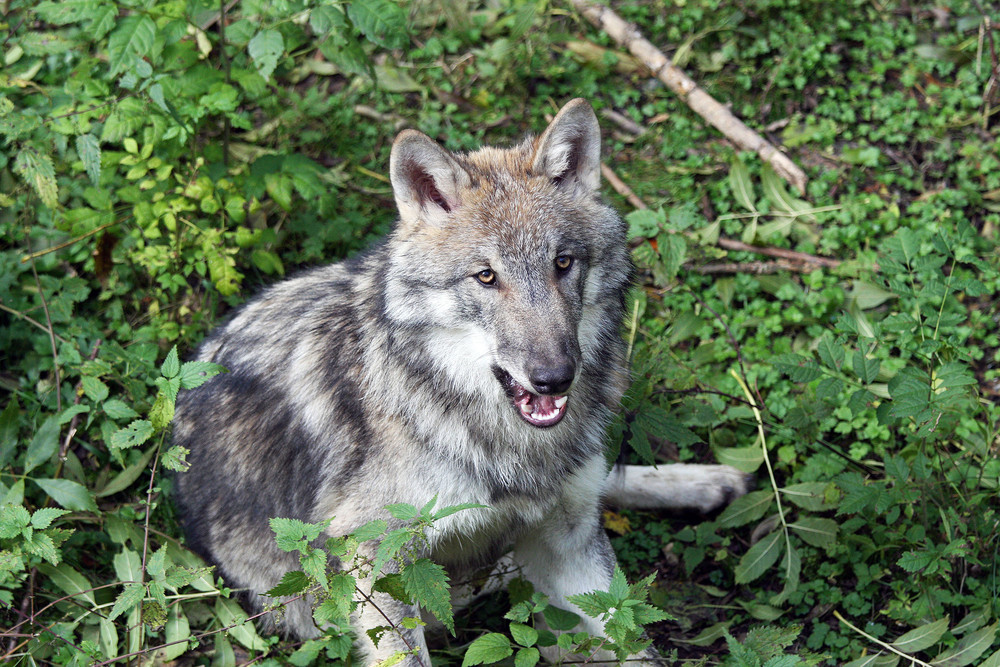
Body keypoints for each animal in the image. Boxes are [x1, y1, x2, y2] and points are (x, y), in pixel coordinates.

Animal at [174, 96, 752, 664]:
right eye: (486, 276)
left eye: (563, 263)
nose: (554, 378)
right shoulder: (375, 558)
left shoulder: (568, 544)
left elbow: (633, 641)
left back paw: (712, 481)